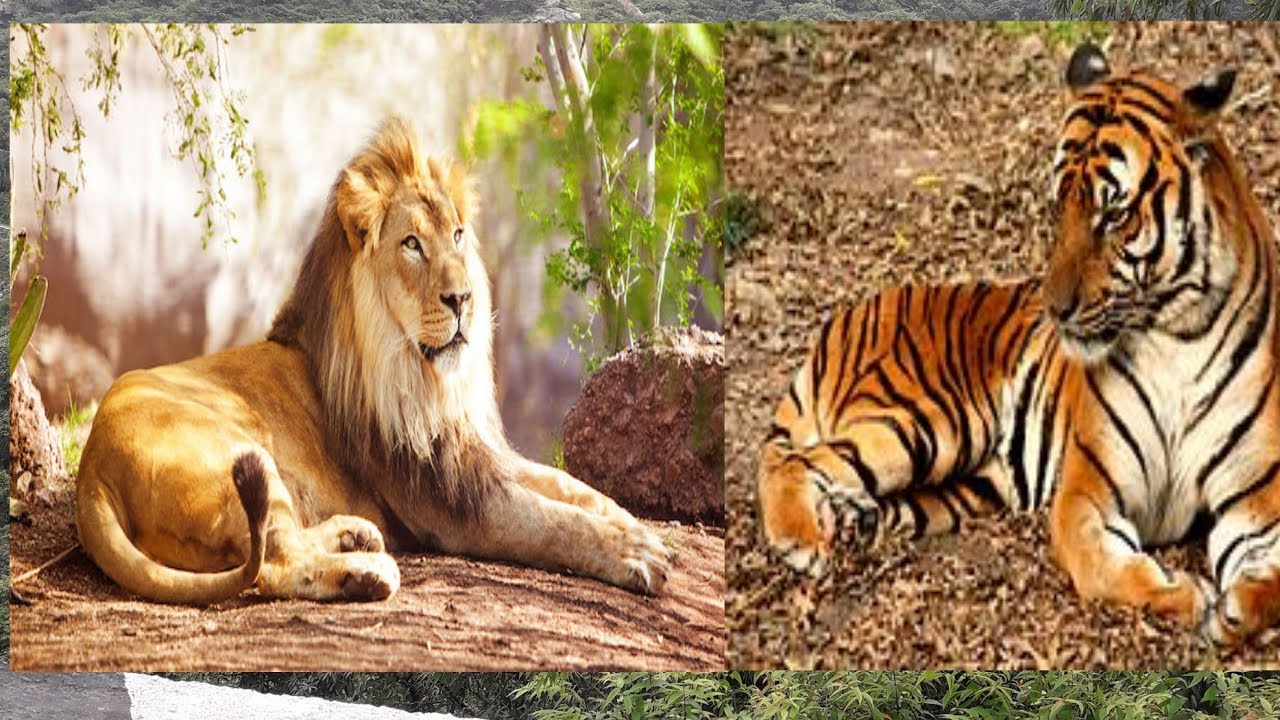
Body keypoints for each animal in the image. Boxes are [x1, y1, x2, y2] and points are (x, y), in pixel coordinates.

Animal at [756, 42, 1280, 643]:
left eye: (1113, 214)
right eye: (1059, 206)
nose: (1055, 310)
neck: (1177, 335)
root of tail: (844, 317)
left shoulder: (1257, 502)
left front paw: (1235, 609)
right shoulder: (1087, 490)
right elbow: (1101, 566)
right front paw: (1184, 595)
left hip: (968, 483)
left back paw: (851, 520)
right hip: (926, 420)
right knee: (795, 460)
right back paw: (801, 540)